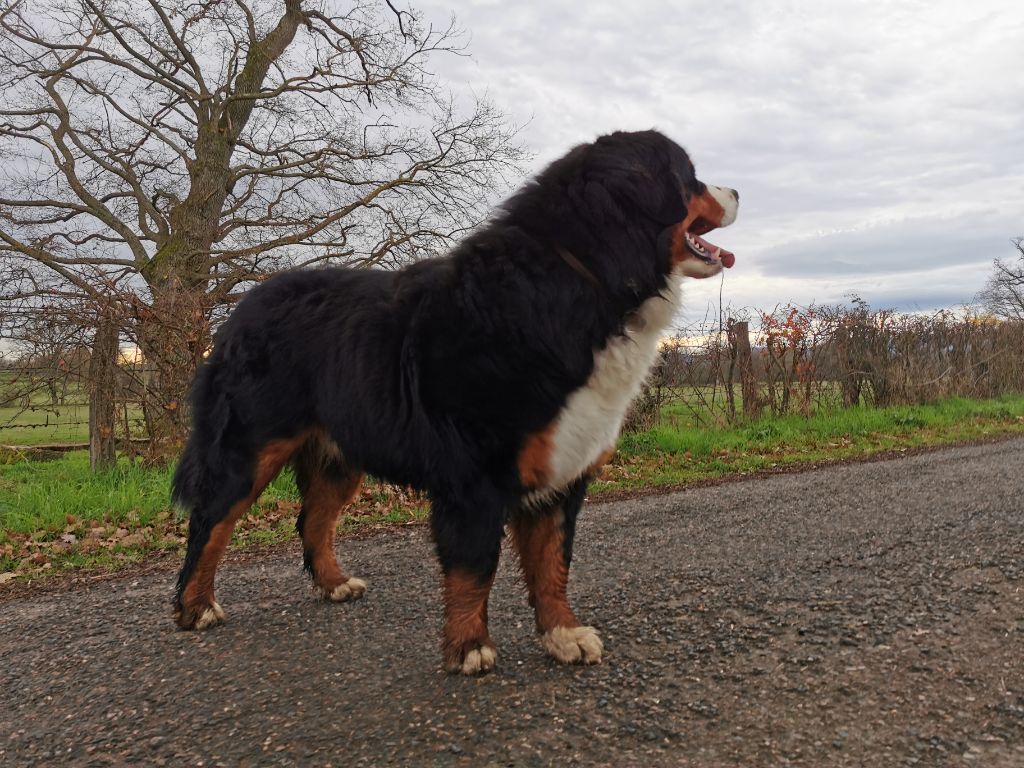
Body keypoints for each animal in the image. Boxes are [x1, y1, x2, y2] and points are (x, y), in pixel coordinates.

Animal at [172, 129, 741, 675]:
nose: (736, 192)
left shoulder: (561, 470)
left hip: (340, 454)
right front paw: (469, 647)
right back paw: (195, 607)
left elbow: (553, 562)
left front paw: (562, 634)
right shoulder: (474, 474)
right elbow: (475, 565)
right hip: (249, 448)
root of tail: (244, 305)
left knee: (313, 520)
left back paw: (334, 583)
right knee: (211, 524)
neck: (584, 276)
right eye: (689, 176)